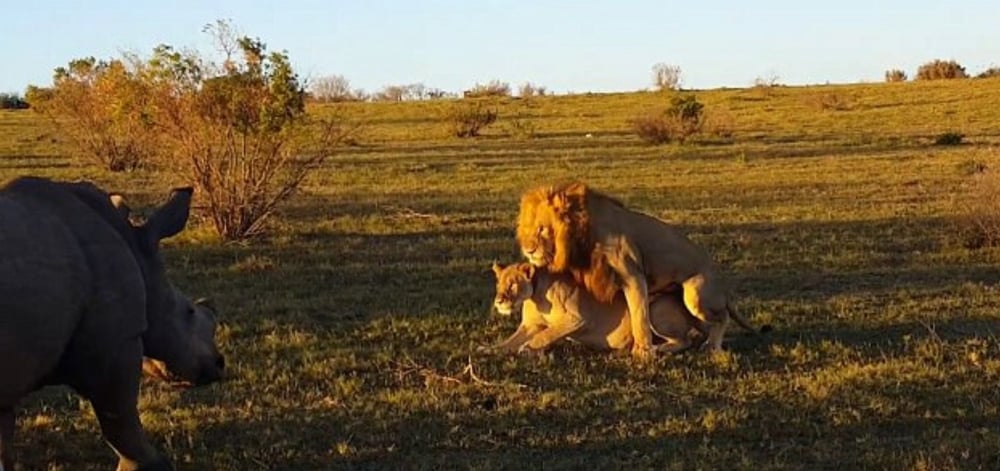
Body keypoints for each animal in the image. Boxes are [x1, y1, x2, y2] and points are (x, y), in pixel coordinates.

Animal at [0, 178, 223, 471]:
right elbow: (119, 420)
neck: (138, 252)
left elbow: (3, 441)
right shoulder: (116, 343)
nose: (219, 365)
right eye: (189, 312)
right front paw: (149, 465)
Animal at [480, 262, 700, 354]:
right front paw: (487, 349)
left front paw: (528, 348)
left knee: (686, 341)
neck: (535, 297)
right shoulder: (530, 325)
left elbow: (546, 334)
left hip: (653, 310)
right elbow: (508, 342)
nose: (499, 301)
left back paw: (658, 347)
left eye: (512, 285)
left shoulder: (577, 318)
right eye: (499, 284)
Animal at [516, 183, 756, 356]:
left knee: (722, 317)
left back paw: (711, 346)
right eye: (527, 228)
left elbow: (639, 315)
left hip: (695, 294)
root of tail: (722, 285)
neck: (582, 237)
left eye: (542, 229)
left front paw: (642, 352)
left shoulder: (632, 275)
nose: (528, 250)